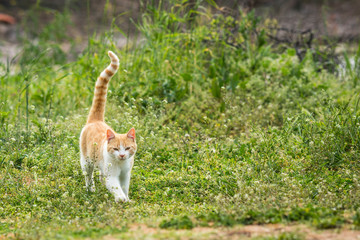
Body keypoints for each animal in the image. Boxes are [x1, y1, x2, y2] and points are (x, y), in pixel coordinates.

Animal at [80, 50, 136, 202]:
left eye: (127, 148)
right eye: (116, 148)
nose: (122, 155)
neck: (121, 164)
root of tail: (96, 120)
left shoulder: (125, 175)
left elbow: (124, 188)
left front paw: (127, 199)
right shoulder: (112, 176)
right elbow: (116, 188)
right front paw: (121, 199)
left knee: (100, 174)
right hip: (86, 161)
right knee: (88, 176)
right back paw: (90, 189)